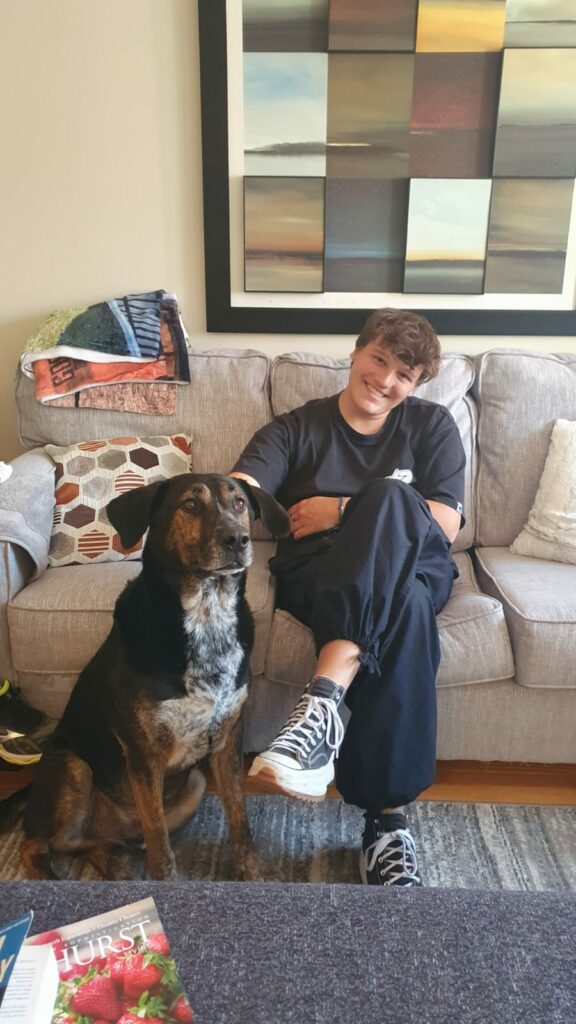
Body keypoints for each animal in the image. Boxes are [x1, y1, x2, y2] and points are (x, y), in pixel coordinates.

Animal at [21, 473, 289, 881]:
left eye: (240, 503)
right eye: (190, 505)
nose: (238, 540)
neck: (207, 616)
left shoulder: (227, 739)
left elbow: (239, 815)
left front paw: (252, 870)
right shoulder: (144, 754)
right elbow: (161, 846)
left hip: (193, 785)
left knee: (90, 843)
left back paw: (116, 865)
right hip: (75, 769)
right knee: (41, 843)